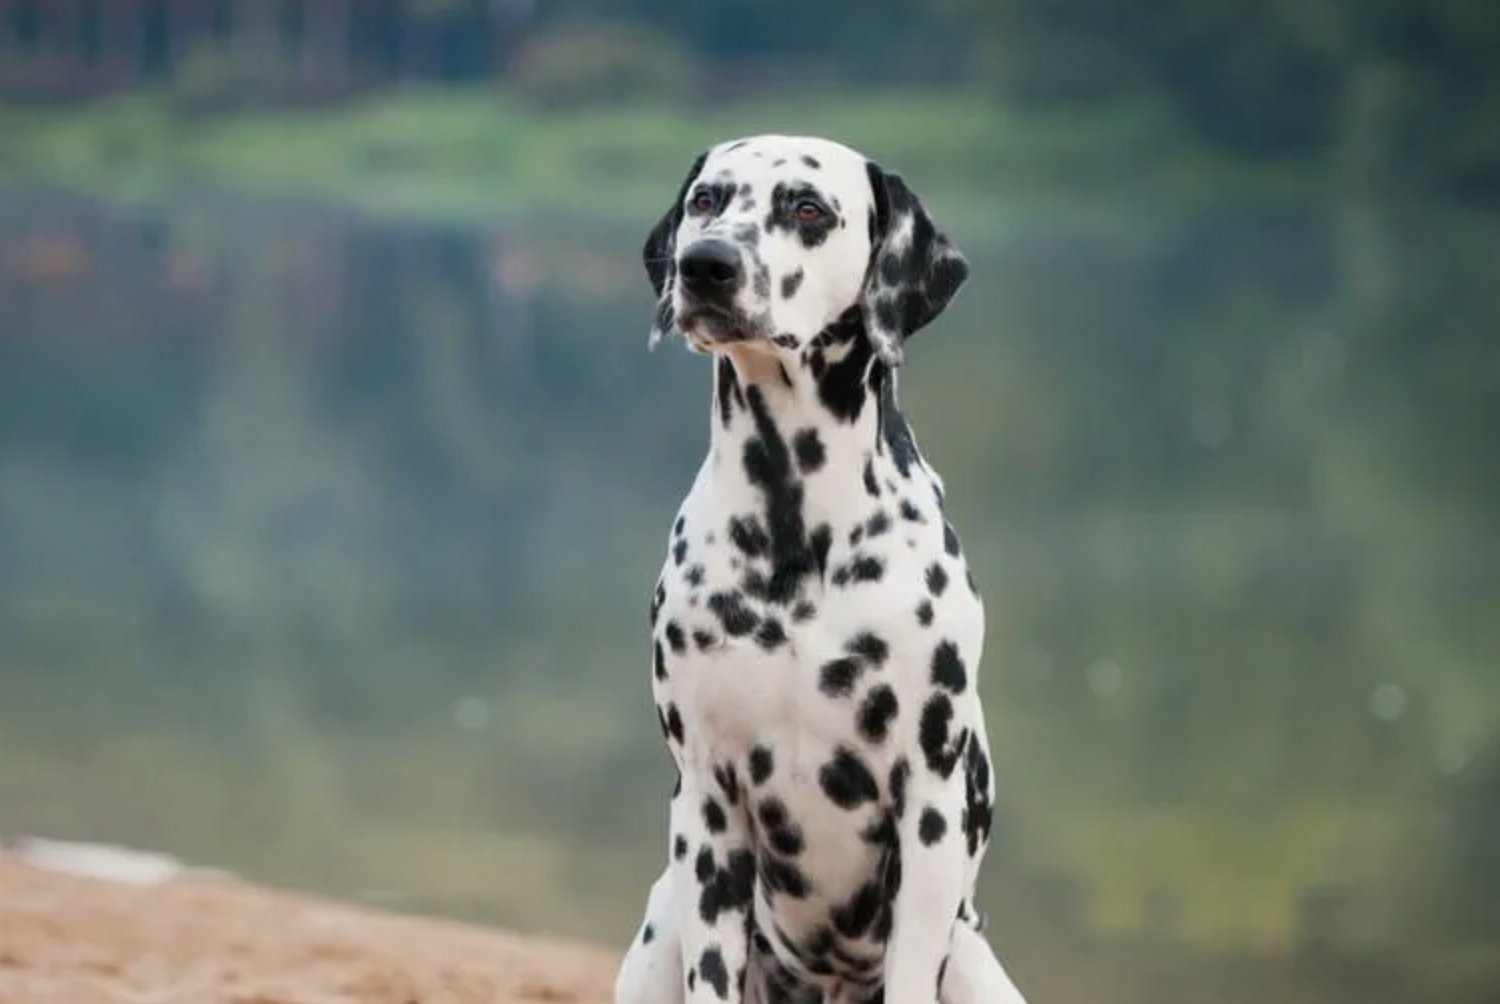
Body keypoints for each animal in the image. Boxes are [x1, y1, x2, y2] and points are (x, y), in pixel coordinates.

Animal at [615, 135, 1026, 1002]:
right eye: (706, 200)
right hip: (662, 920)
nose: (706, 265)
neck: (794, 521)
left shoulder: (931, 809)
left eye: (807, 209)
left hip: (975, 962)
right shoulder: (707, 808)